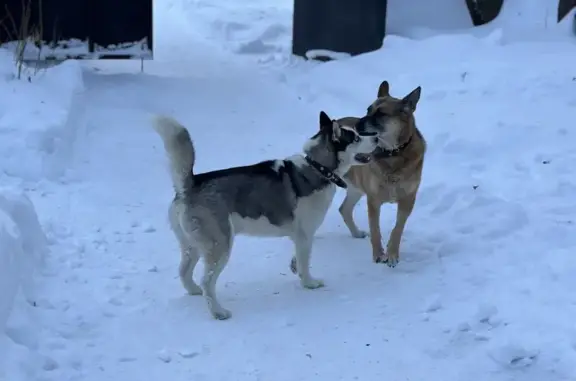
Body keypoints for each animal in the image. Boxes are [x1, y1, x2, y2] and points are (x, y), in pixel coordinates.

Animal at [152, 111, 382, 320]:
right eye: (356, 138)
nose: (376, 137)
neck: (318, 168)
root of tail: (189, 185)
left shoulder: (300, 236)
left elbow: (298, 257)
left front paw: (295, 268)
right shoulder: (305, 234)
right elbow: (305, 262)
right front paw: (309, 283)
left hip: (192, 246)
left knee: (184, 271)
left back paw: (194, 292)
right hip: (220, 245)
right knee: (207, 281)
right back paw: (218, 312)